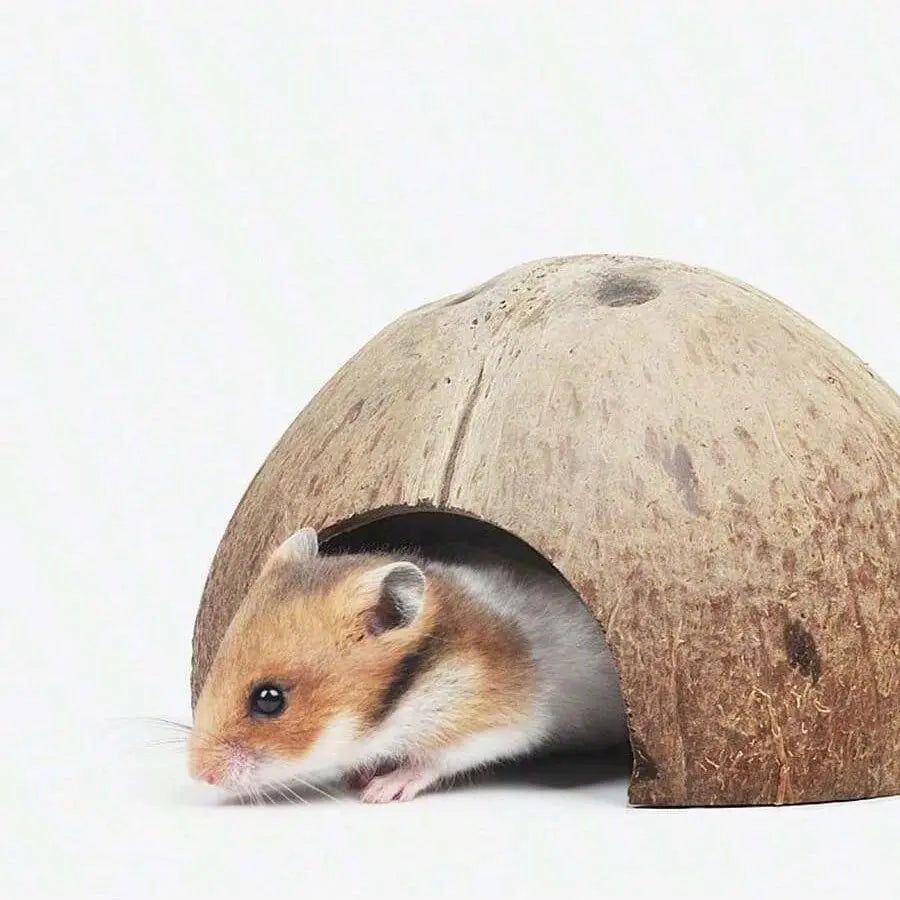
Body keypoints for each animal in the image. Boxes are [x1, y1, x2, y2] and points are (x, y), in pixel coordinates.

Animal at [189, 527, 627, 803]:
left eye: (269, 699)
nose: (198, 774)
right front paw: (357, 776)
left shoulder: (493, 722)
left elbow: (430, 759)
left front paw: (378, 792)